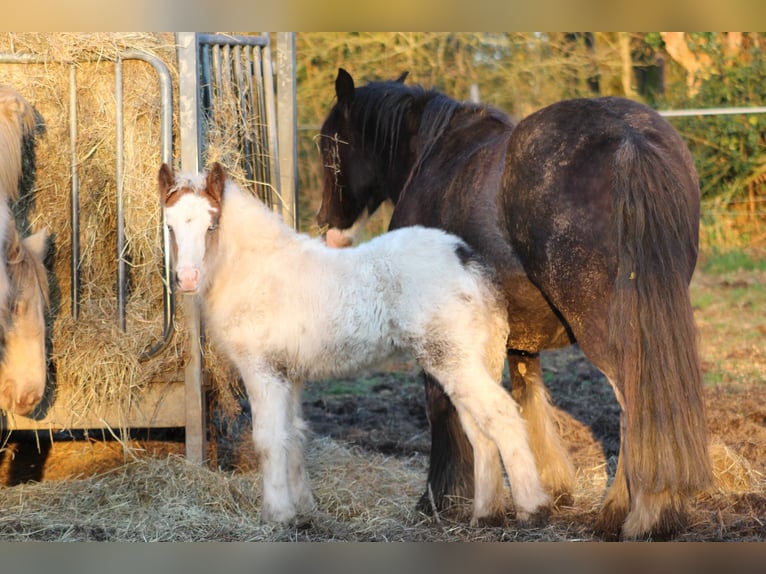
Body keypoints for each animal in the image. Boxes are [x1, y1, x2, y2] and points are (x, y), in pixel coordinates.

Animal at [160, 162, 552, 528]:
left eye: (212, 225)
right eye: (170, 226)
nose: (187, 279)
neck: (258, 270)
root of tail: (464, 256)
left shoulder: (263, 369)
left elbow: (268, 439)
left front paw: (277, 515)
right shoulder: (291, 374)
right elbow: (293, 434)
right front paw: (305, 510)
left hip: (452, 359)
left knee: (501, 416)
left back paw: (533, 508)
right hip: (469, 359)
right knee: (479, 429)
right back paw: (485, 514)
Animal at [316, 68, 712, 540]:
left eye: (326, 142)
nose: (326, 224)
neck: (433, 156)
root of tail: (629, 138)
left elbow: (444, 410)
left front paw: (442, 502)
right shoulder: (519, 335)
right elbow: (527, 399)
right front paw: (548, 490)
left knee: (633, 403)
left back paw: (638, 514)